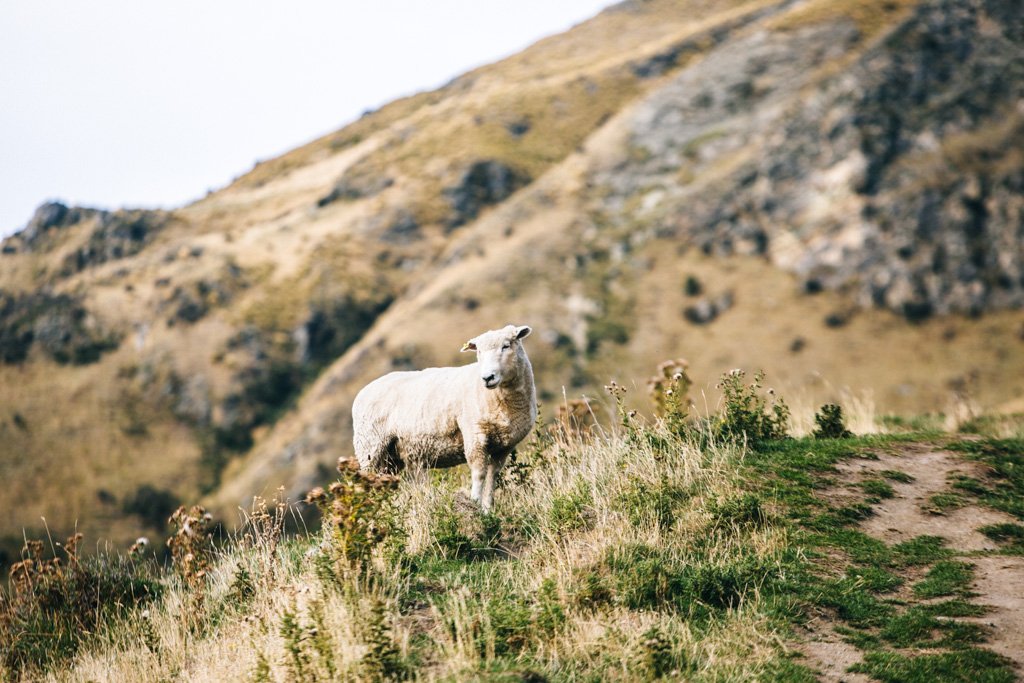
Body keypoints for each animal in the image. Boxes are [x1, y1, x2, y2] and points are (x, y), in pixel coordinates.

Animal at [354, 325, 536, 511]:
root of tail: (364, 390)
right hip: (369, 447)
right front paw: (474, 503)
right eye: (478, 351)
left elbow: (493, 477)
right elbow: (479, 474)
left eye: (506, 346)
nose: (487, 378)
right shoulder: (474, 435)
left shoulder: (504, 447)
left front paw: (487, 509)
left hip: (390, 457)